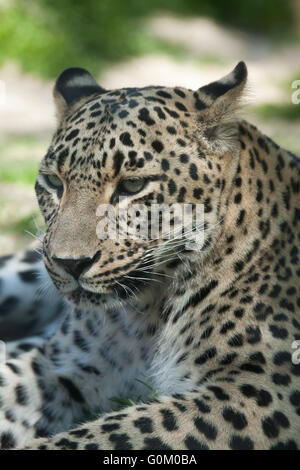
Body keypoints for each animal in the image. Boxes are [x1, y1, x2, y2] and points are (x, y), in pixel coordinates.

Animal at [0, 60, 300, 450]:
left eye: (132, 186)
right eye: (54, 182)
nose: (69, 263)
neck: (147, 315)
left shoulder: (259, 392)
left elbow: (100, 436)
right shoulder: (59, 364)